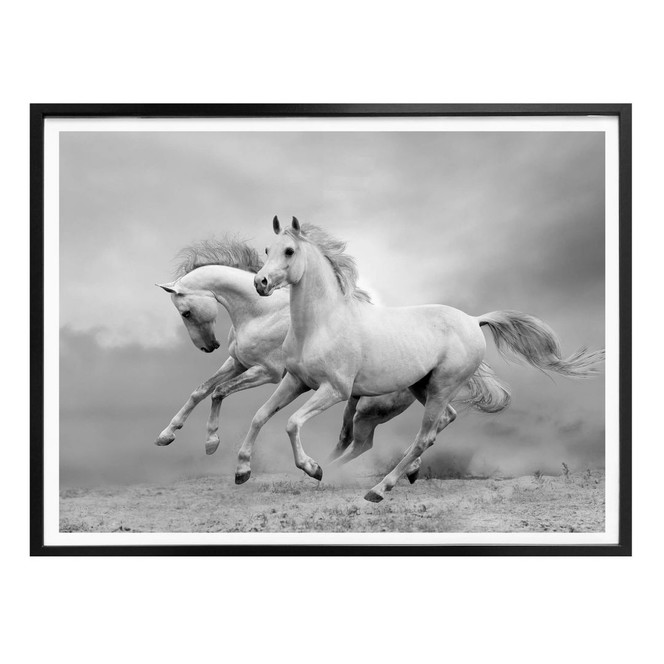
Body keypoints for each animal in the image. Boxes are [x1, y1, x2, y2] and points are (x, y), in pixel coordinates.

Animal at [236, 216, 604, 502]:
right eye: (267, 250)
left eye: (289, 251)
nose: (260, 282)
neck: (322, 323)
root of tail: (474, 320)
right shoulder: (295, 381)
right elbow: (259, 416)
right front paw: (242, 470)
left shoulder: (334, 390)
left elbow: (291, 422)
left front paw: (312, 469)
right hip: (422, 386)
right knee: (444, 420)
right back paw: (390, 474)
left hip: (441, 386)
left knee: (424, 436)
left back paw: (380, 489)